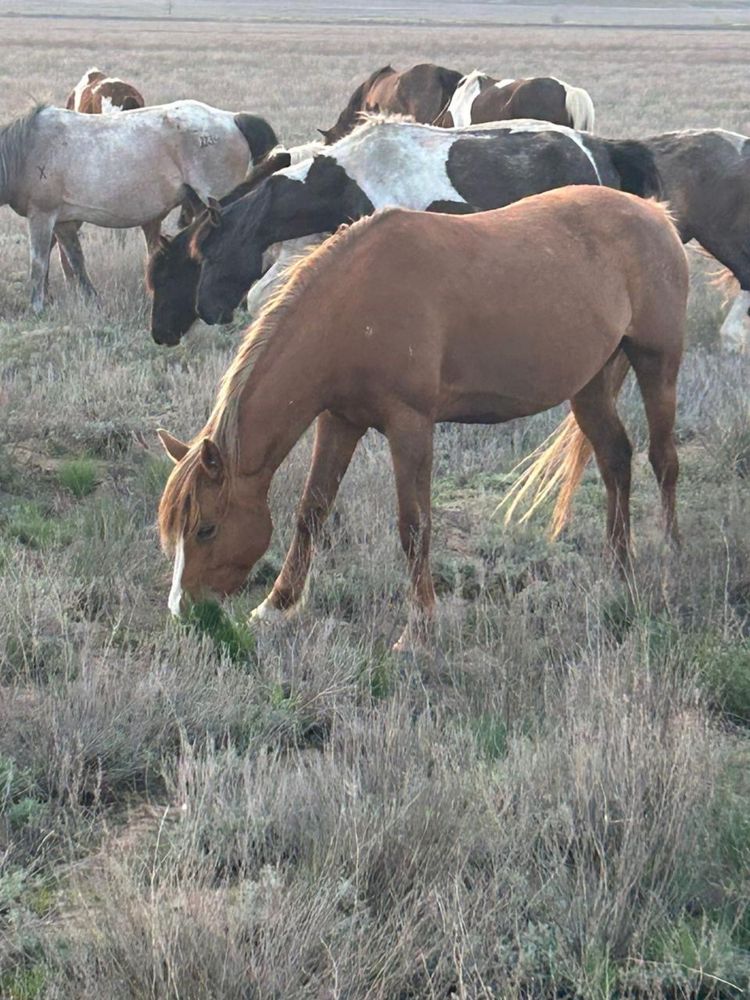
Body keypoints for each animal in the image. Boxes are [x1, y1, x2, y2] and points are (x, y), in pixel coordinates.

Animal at [160, 188, 692, 652]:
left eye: (205, 528)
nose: (184, 611)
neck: (353, 307)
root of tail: (656, 213)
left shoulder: (410, 425)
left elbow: (414, 526)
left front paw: (417, 631)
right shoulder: (339, 420)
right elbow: (311, 510)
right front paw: (276, 606)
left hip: (658, 363)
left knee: (663, 460)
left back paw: (670, 563)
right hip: (590, 385)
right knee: (615, 459)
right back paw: (619, 568)